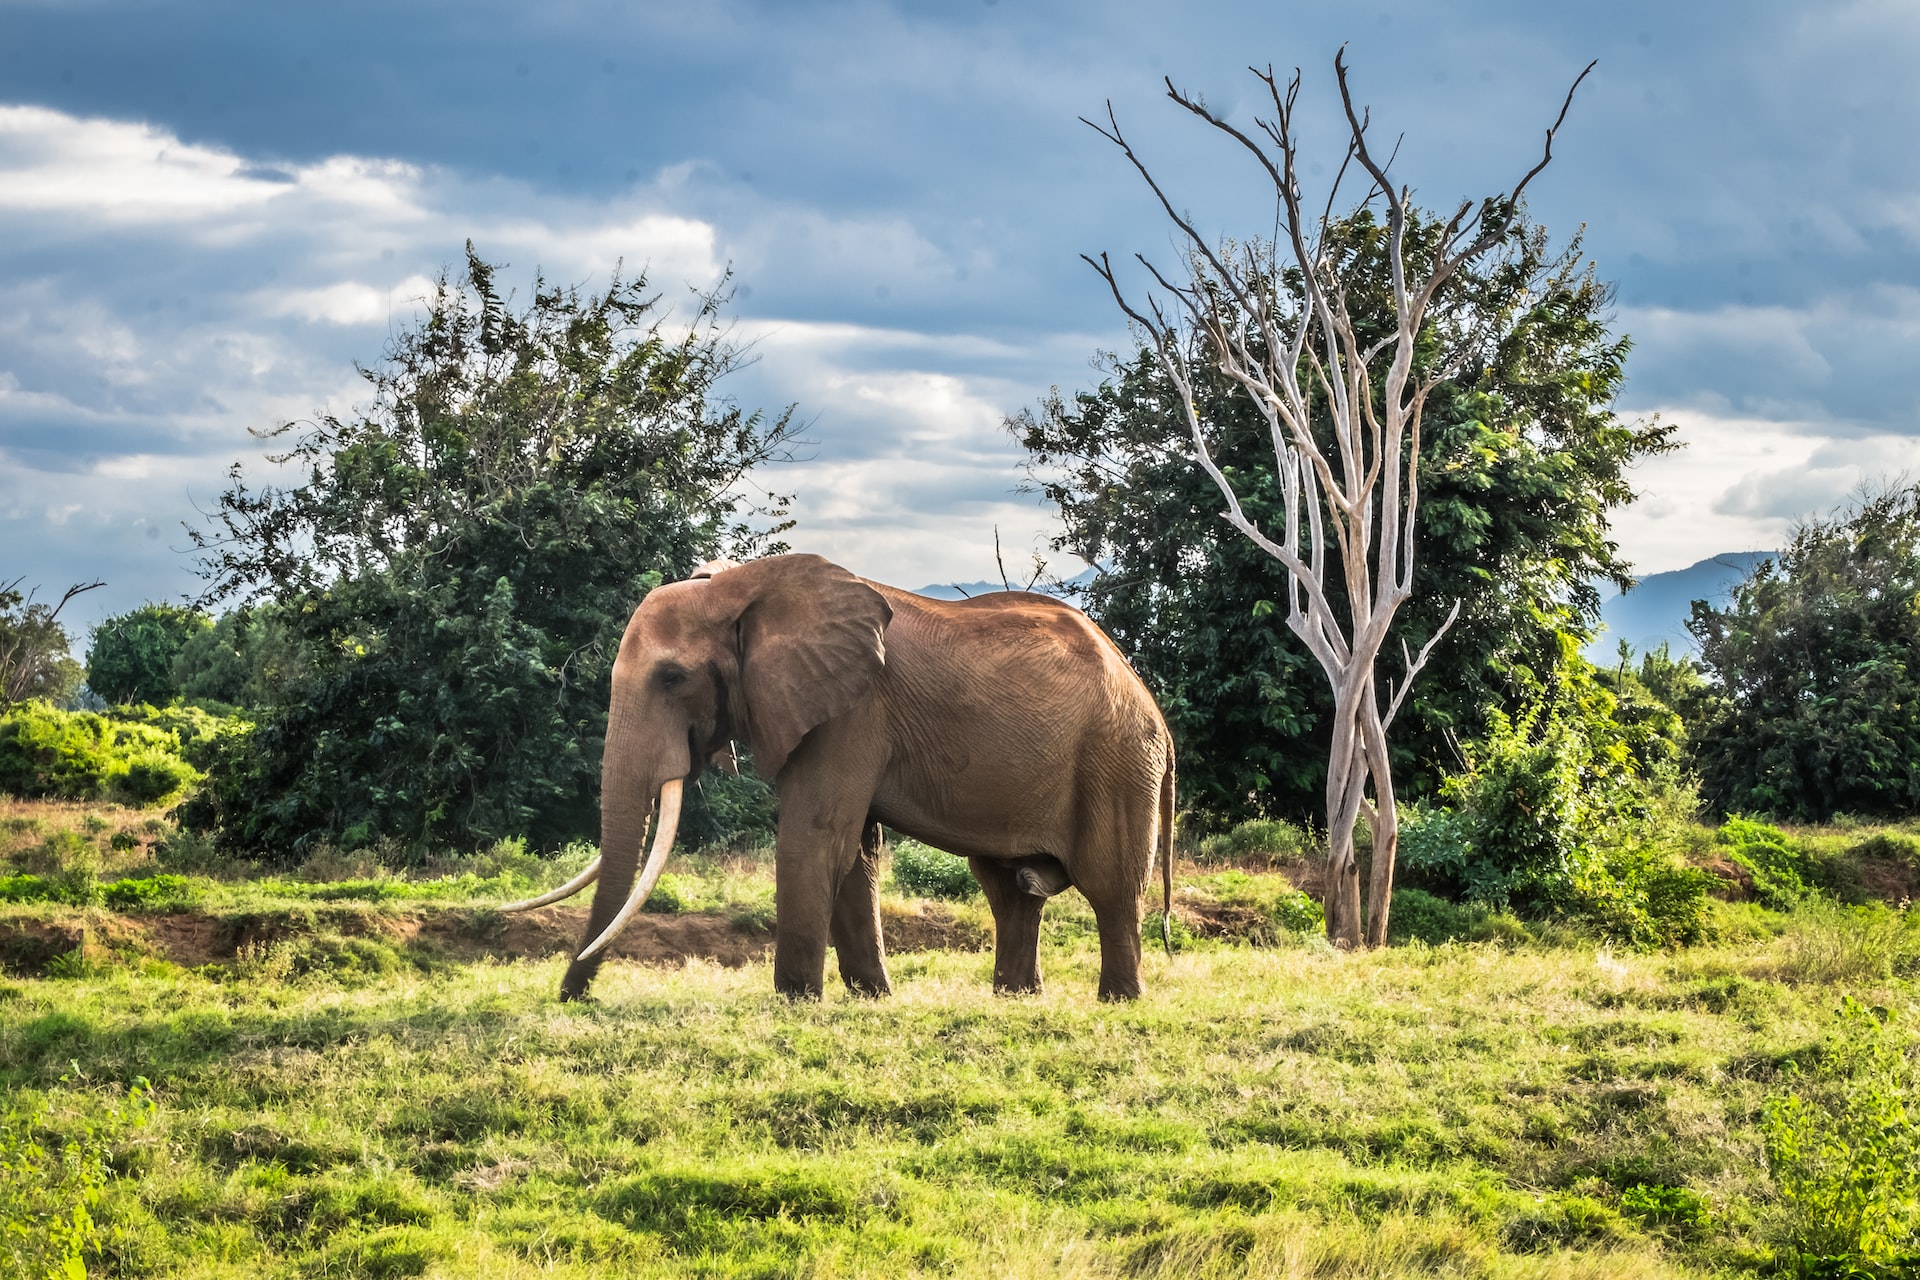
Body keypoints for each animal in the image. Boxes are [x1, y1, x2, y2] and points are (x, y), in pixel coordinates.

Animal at [503, 556, 1175, 1005]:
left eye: (672, 678)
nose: (572, 997)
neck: (742, 587)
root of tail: (1150, 702)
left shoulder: (853, 711)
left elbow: (817, 835)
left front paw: (796, 1001)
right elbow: (855, 852)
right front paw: (872, 999)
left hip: (1116, 760)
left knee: (1111, 885)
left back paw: (1118, 1001)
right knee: (1011, 889)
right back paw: (1016, 998)